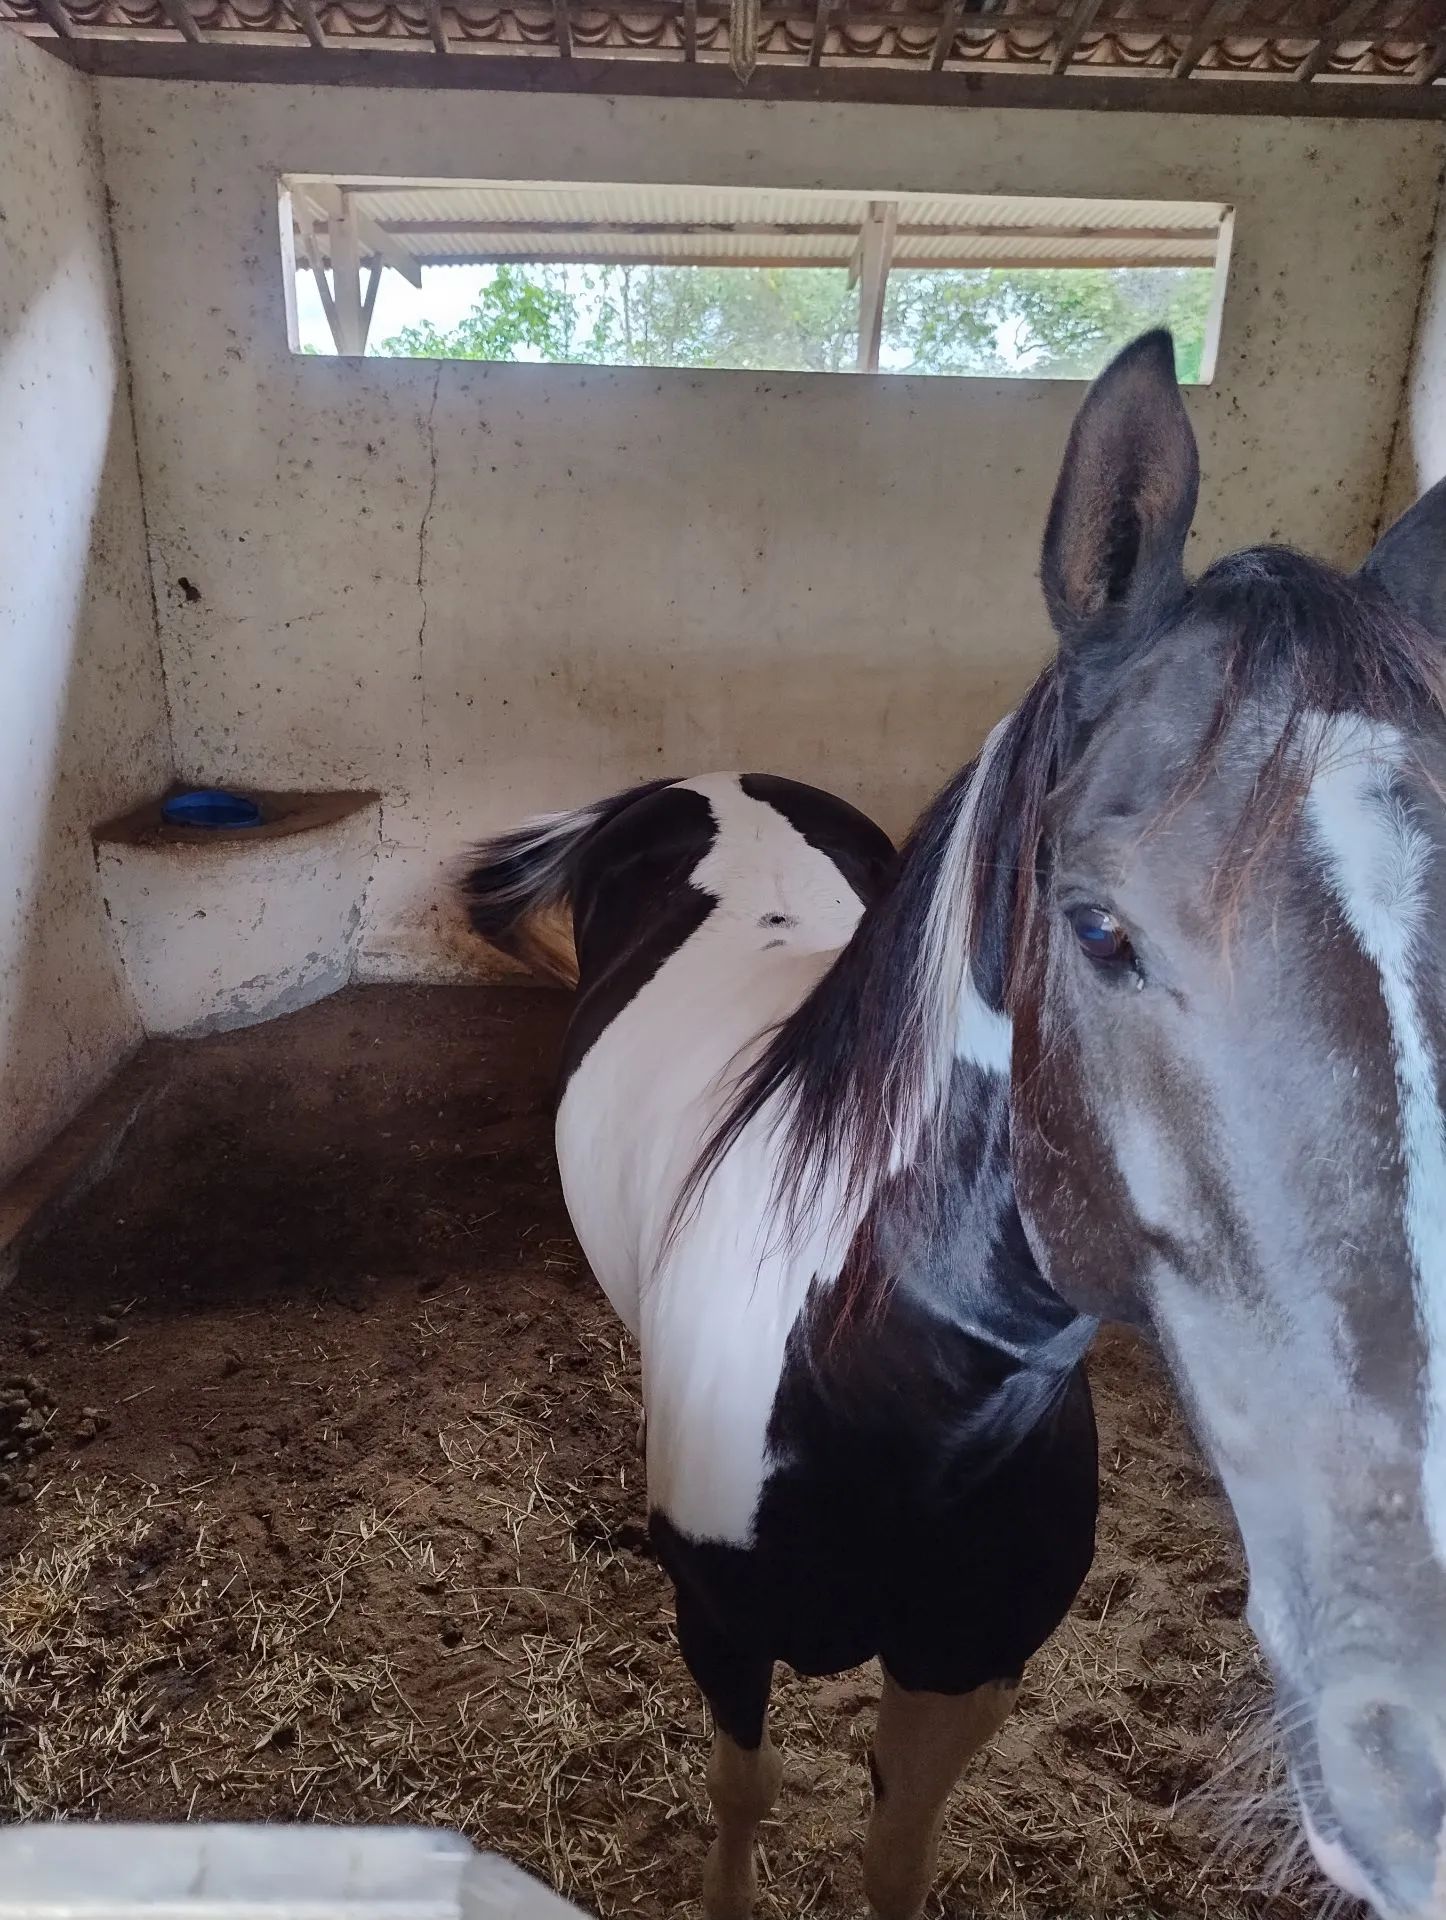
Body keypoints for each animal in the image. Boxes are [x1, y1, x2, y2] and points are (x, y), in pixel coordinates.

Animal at [462, 330, 1446, 1920]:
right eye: (1098, 929)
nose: (1409, 1742)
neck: (887, 1399)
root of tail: (703, 782)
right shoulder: (721, 1633)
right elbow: (743, 1796)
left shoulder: (966, 1670)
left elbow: (891, 1846)